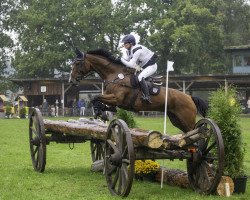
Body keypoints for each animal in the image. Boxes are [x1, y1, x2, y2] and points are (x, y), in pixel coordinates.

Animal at [69, 48, 207, 133]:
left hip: (187, 119)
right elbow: (99, 101)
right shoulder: (111, 99)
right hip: (176, 119)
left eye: (77, 63)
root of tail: (189, 97)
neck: (115, 76)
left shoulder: (117, 99)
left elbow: (95, 98)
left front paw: (100, 113)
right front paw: (101, 112)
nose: (71, 80)